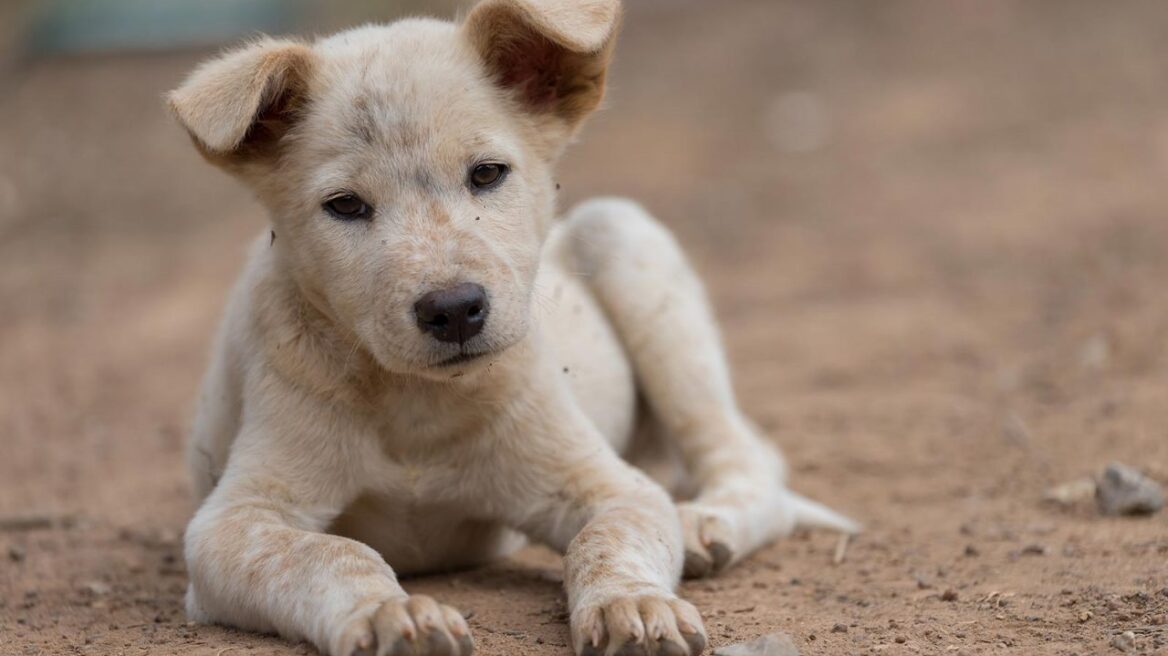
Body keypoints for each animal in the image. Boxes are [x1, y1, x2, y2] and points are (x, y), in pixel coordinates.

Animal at [167, 2, 859, 648]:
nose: (453, 309)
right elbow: (330, 553)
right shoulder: (233, 523)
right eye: (344, 206)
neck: (418, 404)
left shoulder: (607, 485)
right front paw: (392, 615)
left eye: (487, 173)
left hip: (627, 240)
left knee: (748, 460)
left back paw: (702, 524)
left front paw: (635, 605)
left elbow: (607, 539)